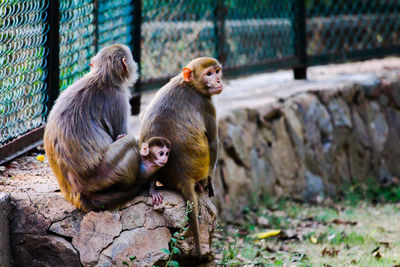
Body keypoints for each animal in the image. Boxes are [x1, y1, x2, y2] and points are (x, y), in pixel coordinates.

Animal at [43, 43, 169, 211]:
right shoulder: (119, 99)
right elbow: (121, 134)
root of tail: (76, 193)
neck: (103, 77)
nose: (135, 65)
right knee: (129, 141)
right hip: (106, 172)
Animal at [139, 56, 223, 258]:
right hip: (201, 165)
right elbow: (213, 142)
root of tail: (183, 176)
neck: (189, 84)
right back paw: (201, 183)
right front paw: (210, 181)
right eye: (209, 73)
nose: (218, 80)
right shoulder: (206, 104)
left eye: (217, 71)